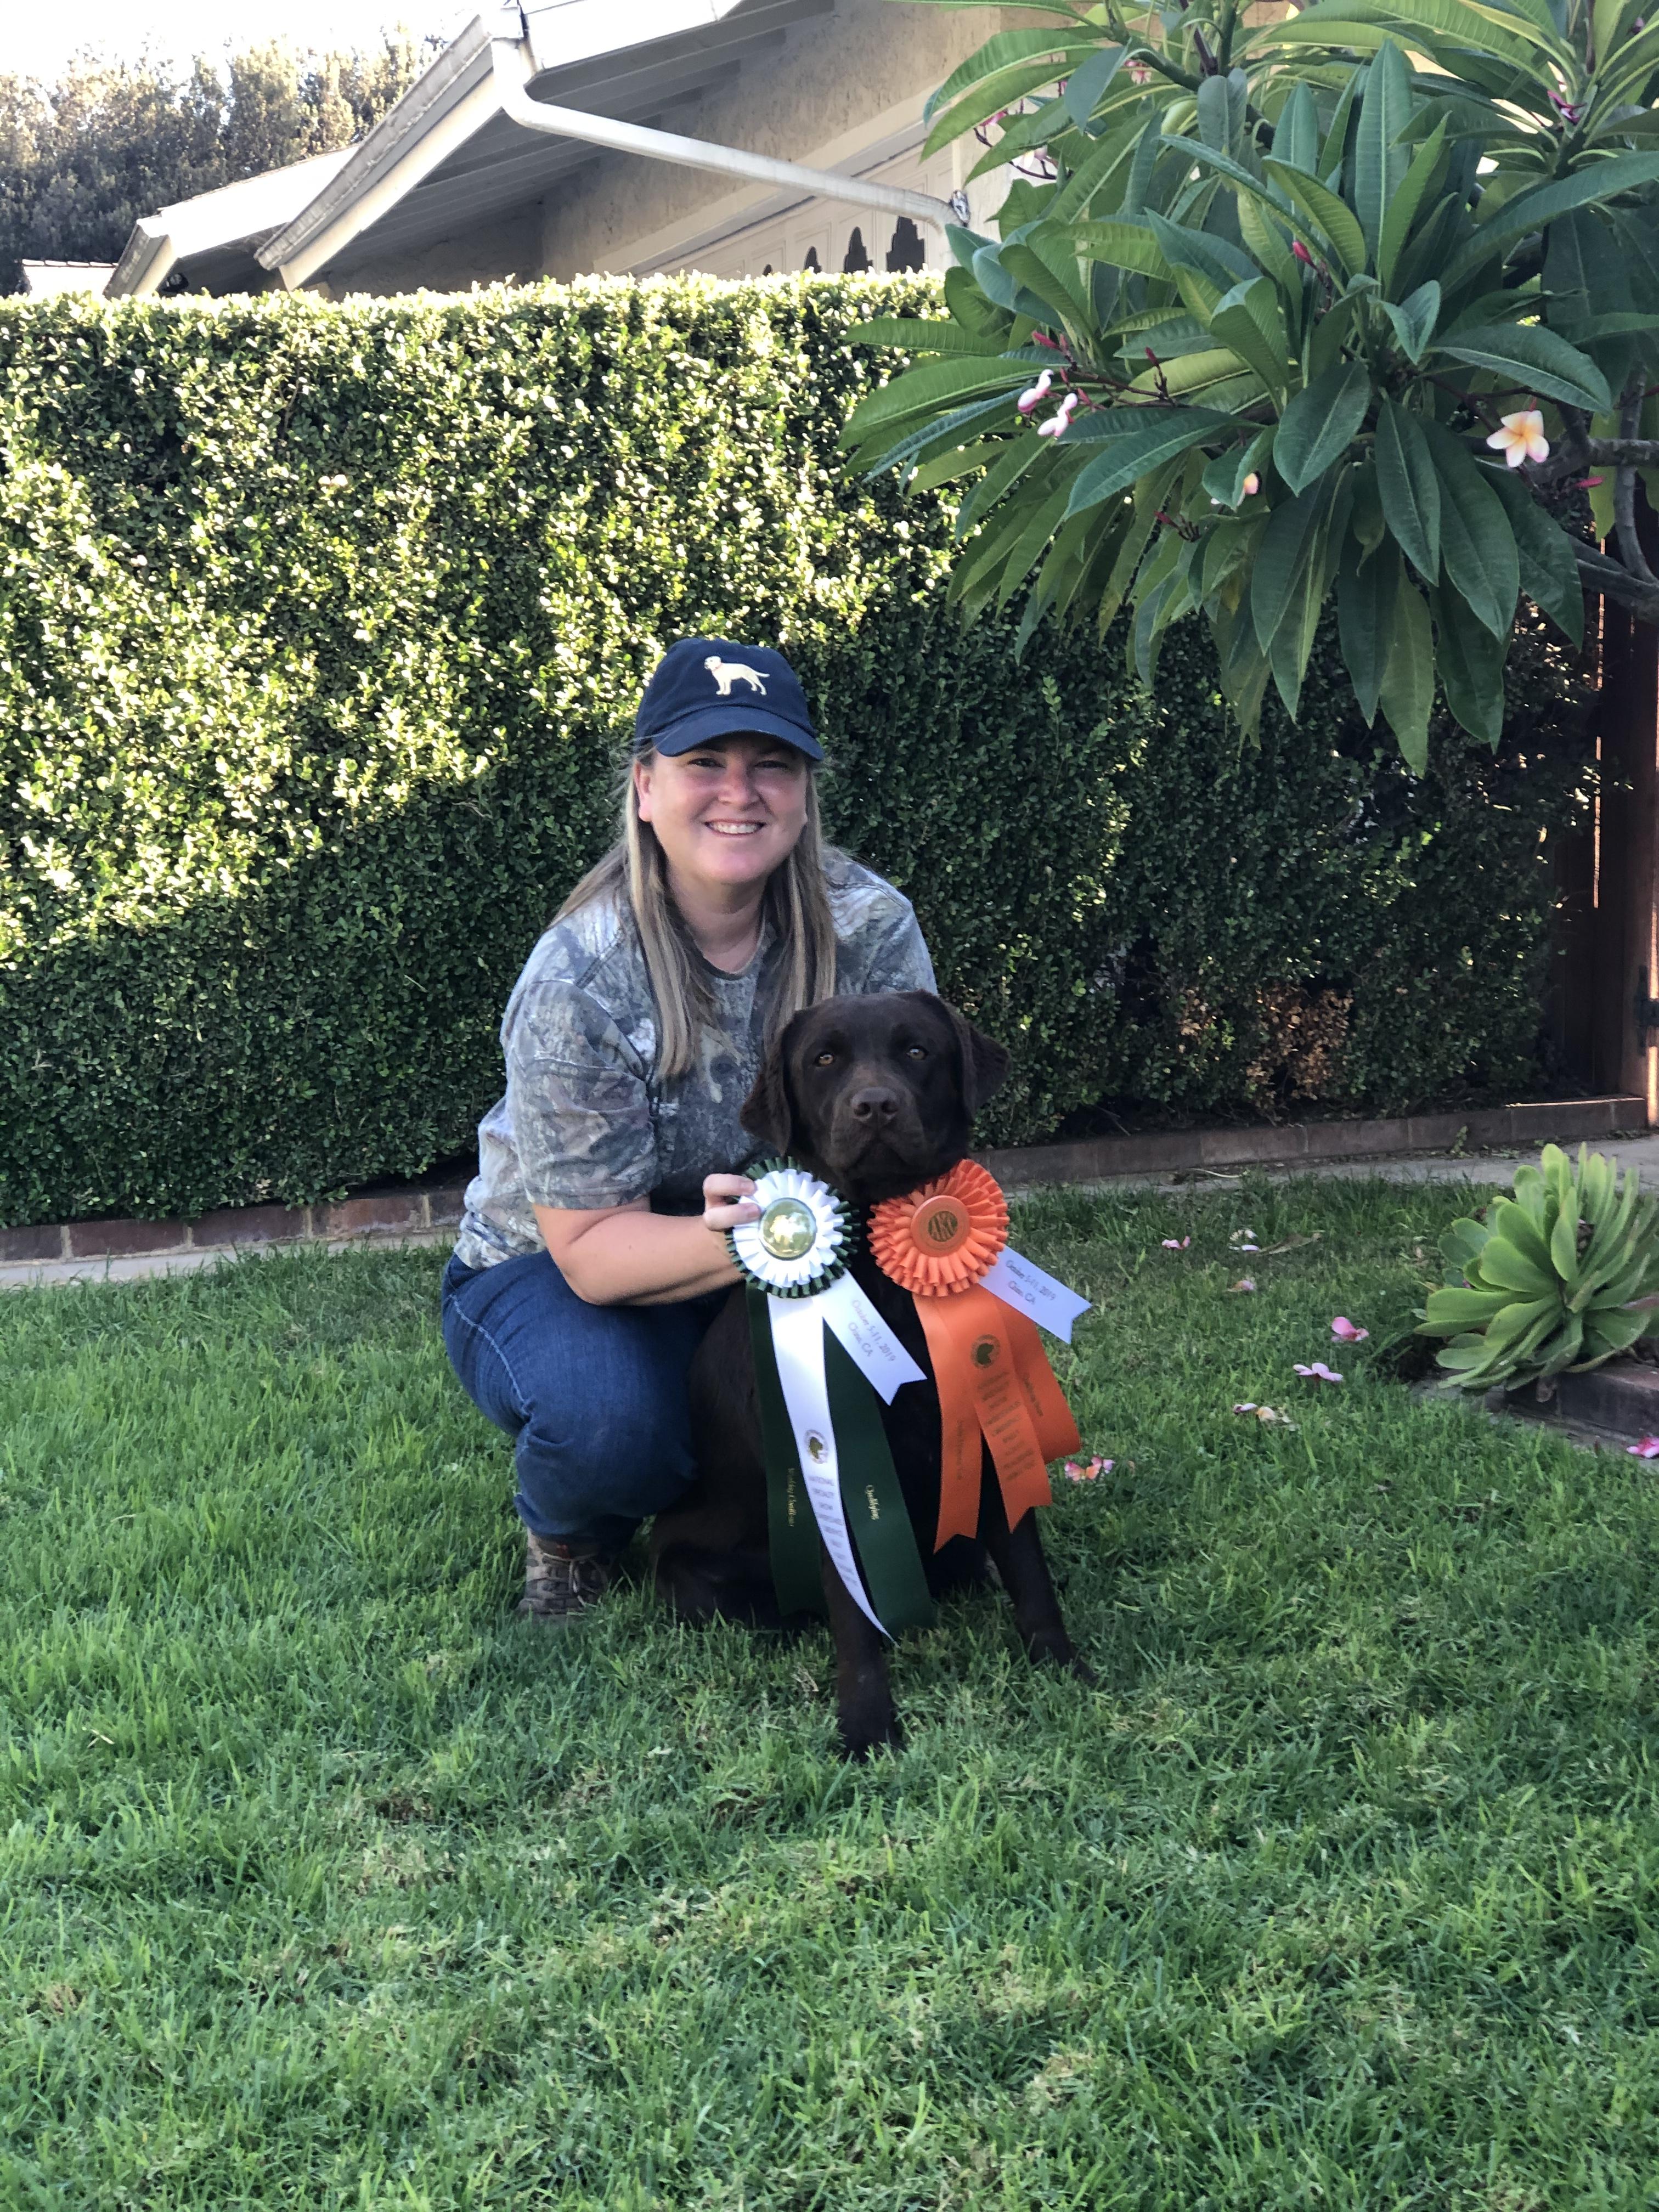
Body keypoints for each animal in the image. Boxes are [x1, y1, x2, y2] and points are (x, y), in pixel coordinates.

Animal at [649, 990, 1091, 1757]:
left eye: (916, 1050)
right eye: (824, 1059)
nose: (876, 1106)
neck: (887, 1277)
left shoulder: (987, 1425)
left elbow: (1030, 1570)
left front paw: (1062, 1666)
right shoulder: (832, 1458)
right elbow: (853, 1618)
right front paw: (866, 1724)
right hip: (699, 1576)